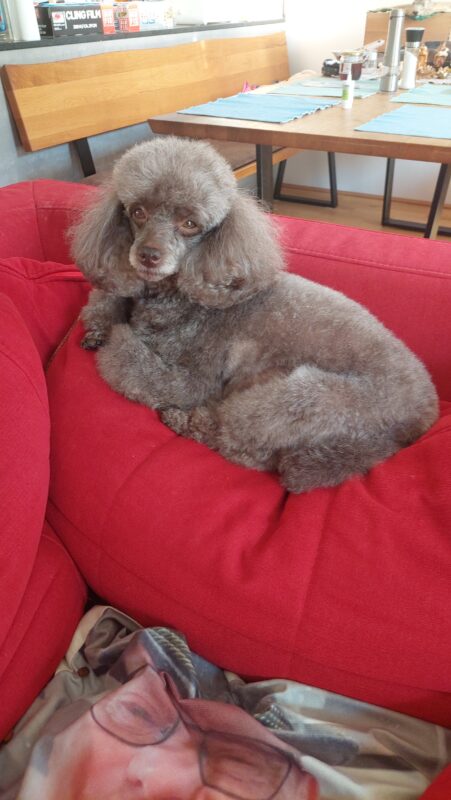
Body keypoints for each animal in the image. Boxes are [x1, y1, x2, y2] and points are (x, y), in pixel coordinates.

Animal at [71, 136, 439, 493]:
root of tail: (423, 415)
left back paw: (181, 420)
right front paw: (101, 323)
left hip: (305, 399)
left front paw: (114, 338)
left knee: (240, 441)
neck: (180, 293)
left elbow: (131, 363)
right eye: (137, 211)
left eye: (190, 224)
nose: (148, 255)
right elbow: (109, 296)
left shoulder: (193, 378)